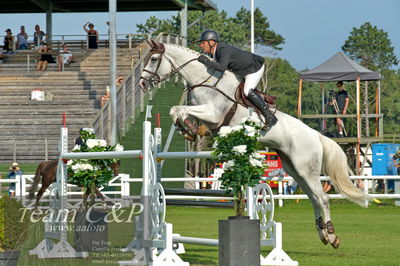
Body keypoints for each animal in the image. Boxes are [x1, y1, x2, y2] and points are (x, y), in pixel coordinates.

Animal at [139, 40, 370, 249]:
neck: (206, 80)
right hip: (295, 170)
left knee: (323, 198)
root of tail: (316, 136)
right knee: (314, 198)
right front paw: (189, 130)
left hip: (307, 169)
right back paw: (323, 234)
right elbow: (178, 112)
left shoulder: (212, 113)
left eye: (154, 59)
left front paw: (189, 128)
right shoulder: (207, 116)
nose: (142, 84)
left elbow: (178, 110)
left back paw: (331, 234)